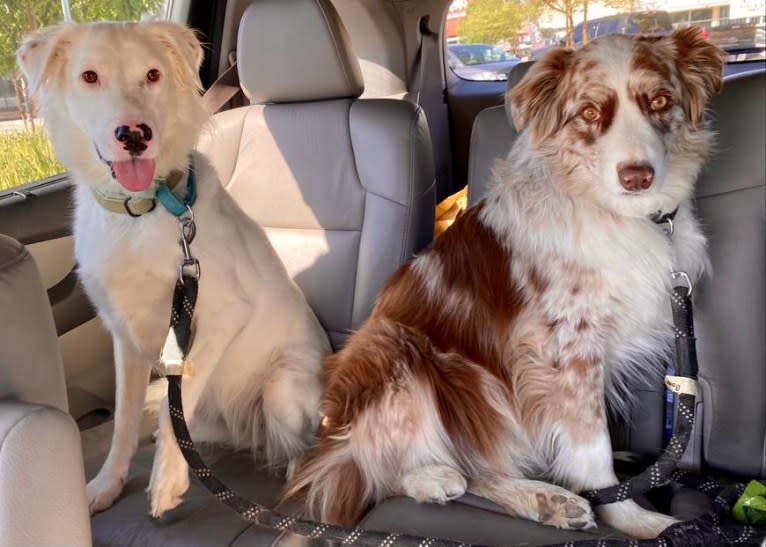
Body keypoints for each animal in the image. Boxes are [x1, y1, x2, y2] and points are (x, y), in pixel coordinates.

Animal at [18, 21, 330, 520]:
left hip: (280, 386)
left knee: (302, 445)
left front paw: (167, 478)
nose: (134, 135)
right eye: (89, 76)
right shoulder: (125, 336)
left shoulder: (223, 314)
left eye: (153, 74)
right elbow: (126, 420)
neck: (138, 213)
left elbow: (175, 402)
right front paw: (107, 484)